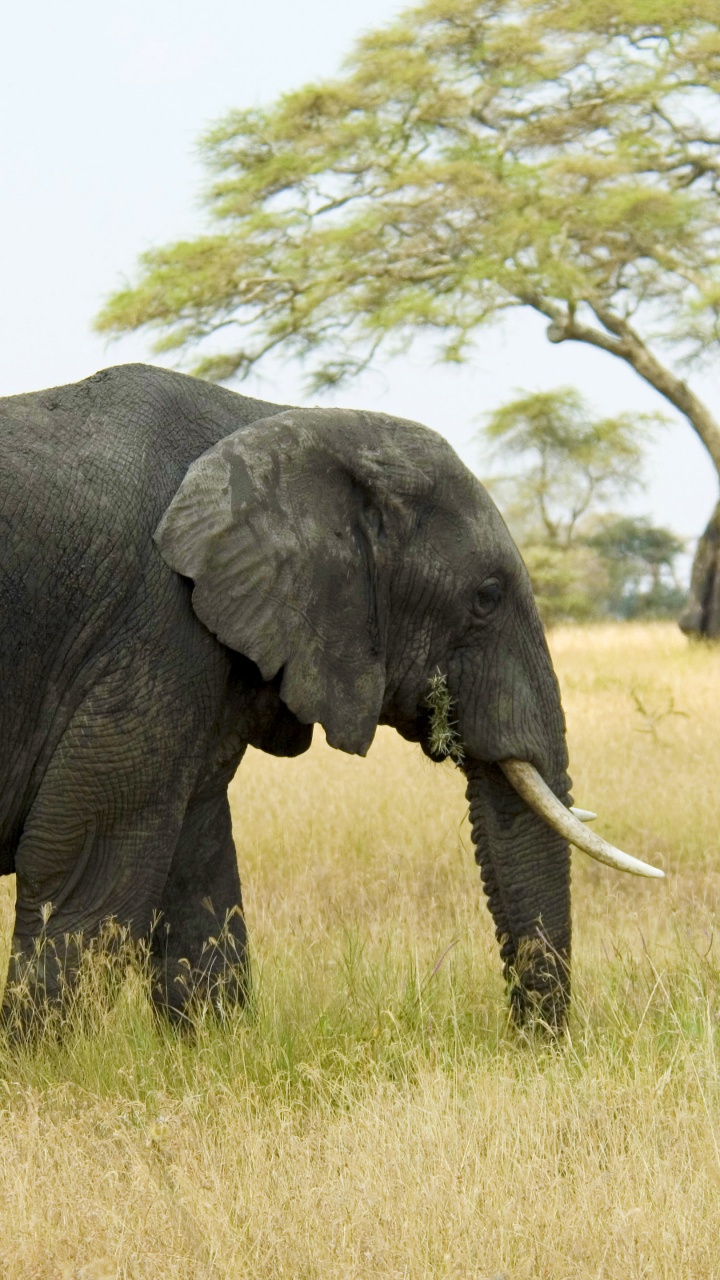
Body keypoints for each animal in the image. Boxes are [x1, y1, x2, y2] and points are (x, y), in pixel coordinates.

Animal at [0, 363, 662, 1031]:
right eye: (486, 597)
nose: (530, 1042)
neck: (282, 423)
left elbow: (197, 873)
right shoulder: (158, 626)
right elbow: (88, 874)